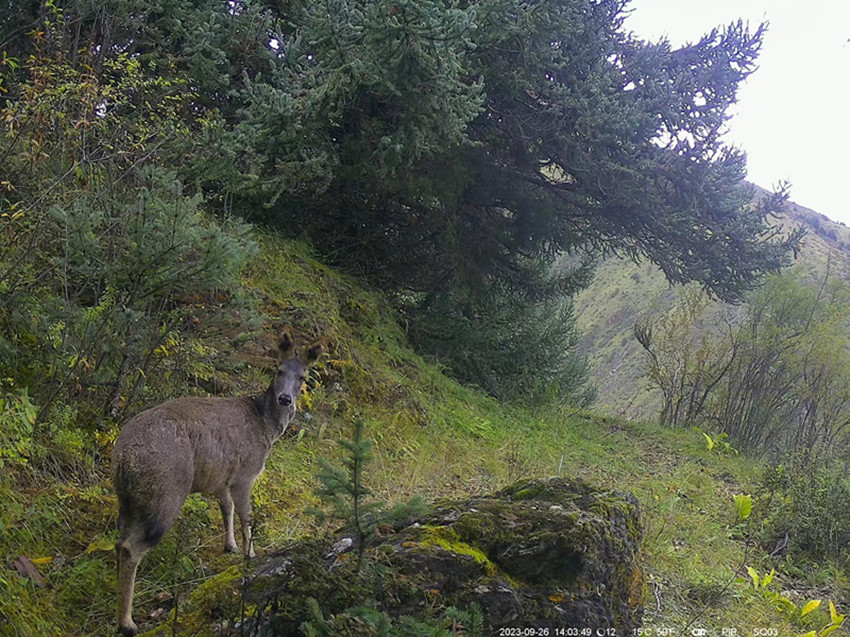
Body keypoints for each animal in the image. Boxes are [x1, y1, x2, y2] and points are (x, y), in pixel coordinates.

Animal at [111, 331, 323, 636]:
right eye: (278, 370)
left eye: (303, 376)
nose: (285, 399)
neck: (265, 425)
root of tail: (123, 457)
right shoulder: (245, 474)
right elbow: (246, 517)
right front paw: (250, 554)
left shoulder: (222, 479)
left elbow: (227, 511)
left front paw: (230, 546)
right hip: (165, 493)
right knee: (131, 548)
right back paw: (127, 622)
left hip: (128, 500)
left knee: (119, 542)